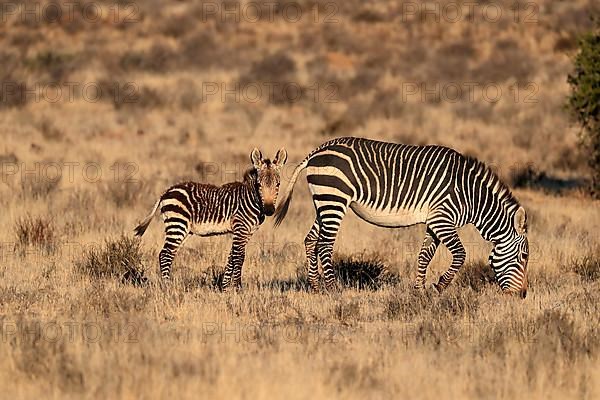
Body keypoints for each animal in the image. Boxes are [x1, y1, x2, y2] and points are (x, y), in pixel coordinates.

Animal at [134, 148, 288, 290]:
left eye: (278, 184)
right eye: (259, 185)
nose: (269, 210)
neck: (251, 199)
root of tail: (166, 192)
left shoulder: (247, 232)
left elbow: (231, 256)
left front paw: (225, 288)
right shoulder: (241, 228)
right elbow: (239, 257)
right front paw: (238, 288)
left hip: (183, 229)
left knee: (169, 253)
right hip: (177, 224)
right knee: (165, 254)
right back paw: (167, 287)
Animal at [274, 138, 528, 296]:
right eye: (523, 257)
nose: (523, 295)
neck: (470, 196)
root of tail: (318, 150)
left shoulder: (434, 222)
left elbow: (424, 256)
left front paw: (420, 291)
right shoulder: (443, 219)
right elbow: (460, 254)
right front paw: (439, 286)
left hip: (324, 202)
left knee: (311, 240)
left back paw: (316, 286)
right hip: (333, 199)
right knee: (325, 244)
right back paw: (334, 288)